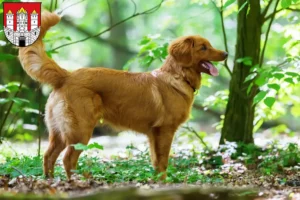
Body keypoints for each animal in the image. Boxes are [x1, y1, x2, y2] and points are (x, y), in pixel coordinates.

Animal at [18, 11, 227, 179]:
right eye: (203, 48)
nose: (226, 53)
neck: (179, 76)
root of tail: (67, 75)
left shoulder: (153, 133)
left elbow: (156, 162)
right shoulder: (165, 130)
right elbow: (163, 162)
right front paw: (165, 182)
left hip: (59, 132)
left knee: (48, 156)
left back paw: (50, 181)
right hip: (81, 131)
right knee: (68, 159)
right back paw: (74, 183)